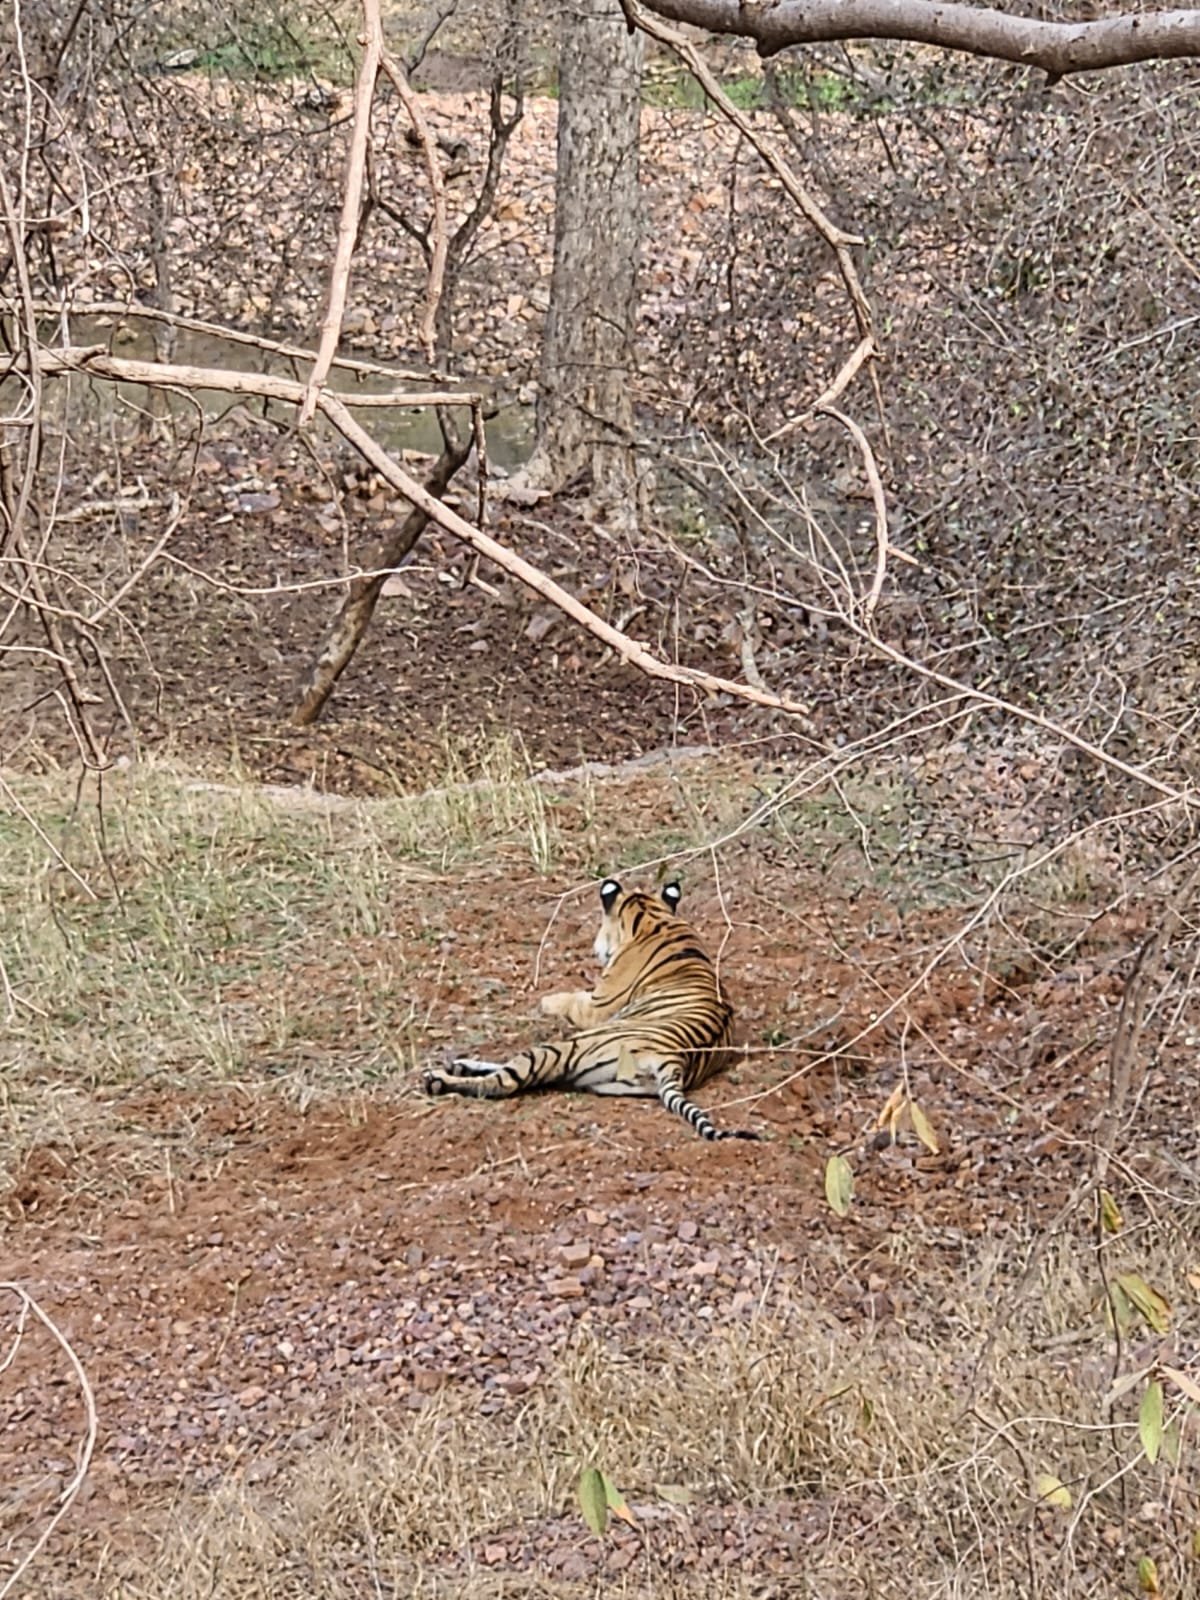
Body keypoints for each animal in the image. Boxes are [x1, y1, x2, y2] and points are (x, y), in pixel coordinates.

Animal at [422, 877, 760, 1142]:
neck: (653, 918)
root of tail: (674, 1060)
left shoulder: (597, 1007)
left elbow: (568, 999)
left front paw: (545, 1001)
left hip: (570, 1047)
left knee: (504, 1082)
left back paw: (439, 1078)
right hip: (596, 1078)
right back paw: (458, 1065)